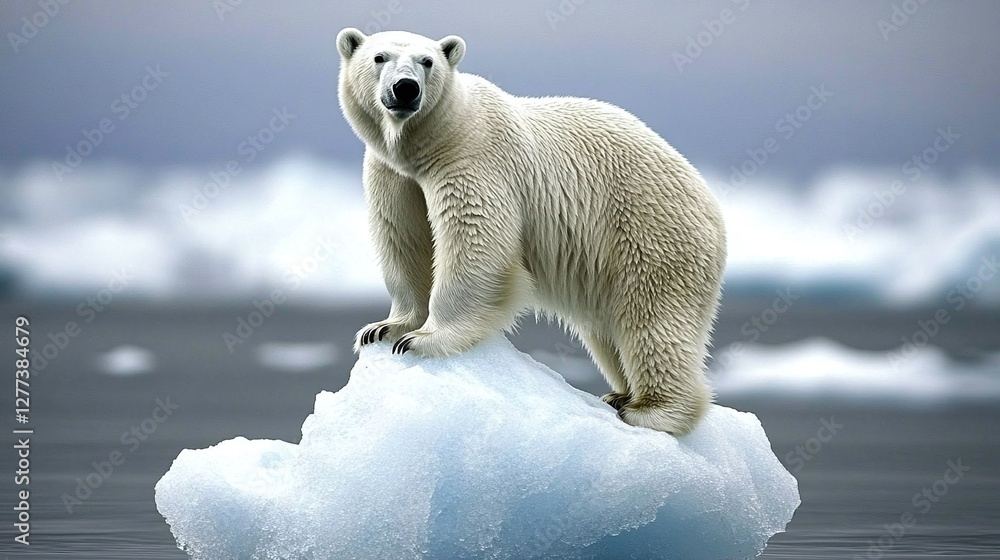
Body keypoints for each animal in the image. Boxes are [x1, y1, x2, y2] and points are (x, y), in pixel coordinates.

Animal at [336, 28, 726, 436]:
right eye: (379, 57)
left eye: (427, 61)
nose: (406, 88)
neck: (434, 141)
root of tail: (709, 201)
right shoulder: (393, 176)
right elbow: (403, 241)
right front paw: (385, 328)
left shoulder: (475, 161)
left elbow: (475, 241)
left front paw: (424, 339)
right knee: (605, 328)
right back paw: (619, 394)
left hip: (652, 231)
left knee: (653, 318)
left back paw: (651, 409)